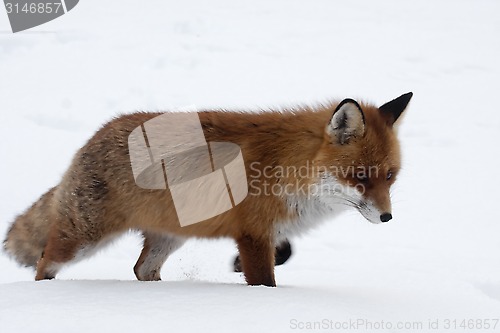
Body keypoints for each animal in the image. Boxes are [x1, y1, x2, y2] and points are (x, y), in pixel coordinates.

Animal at [2, 92, 410, 286]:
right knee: (44, 262)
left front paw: (235, 266)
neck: (290, 167)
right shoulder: (253, 234)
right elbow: (265, 281)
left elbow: (284, 253)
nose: (388, 217)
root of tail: (93, 137)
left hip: (171, 237)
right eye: (360, 177)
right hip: (83, 239)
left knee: (141, 269)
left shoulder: (267, 231)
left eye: (390, 176)